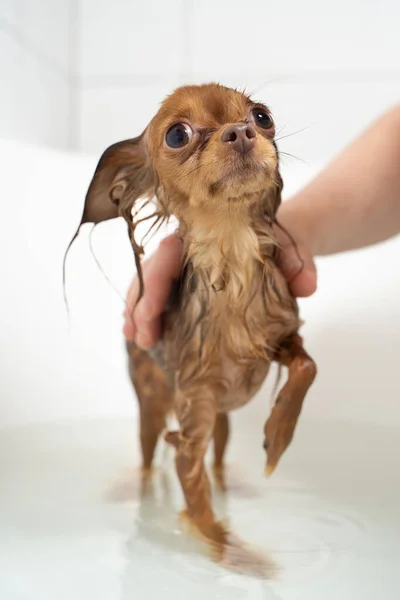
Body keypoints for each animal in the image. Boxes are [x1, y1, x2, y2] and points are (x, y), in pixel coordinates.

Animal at [69, 84, 318, 572]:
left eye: (262, 116)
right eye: (177, 135)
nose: (240, 131)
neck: (232, 260)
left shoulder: (280, 335)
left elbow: (307, 367)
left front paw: (278, 436)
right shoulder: (191, 427)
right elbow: (201, 510)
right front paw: (235, 553)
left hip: (221, 422)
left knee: (218, 462)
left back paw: (233, 482)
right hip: (150, 404)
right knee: (149, 458)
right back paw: (137, 489)